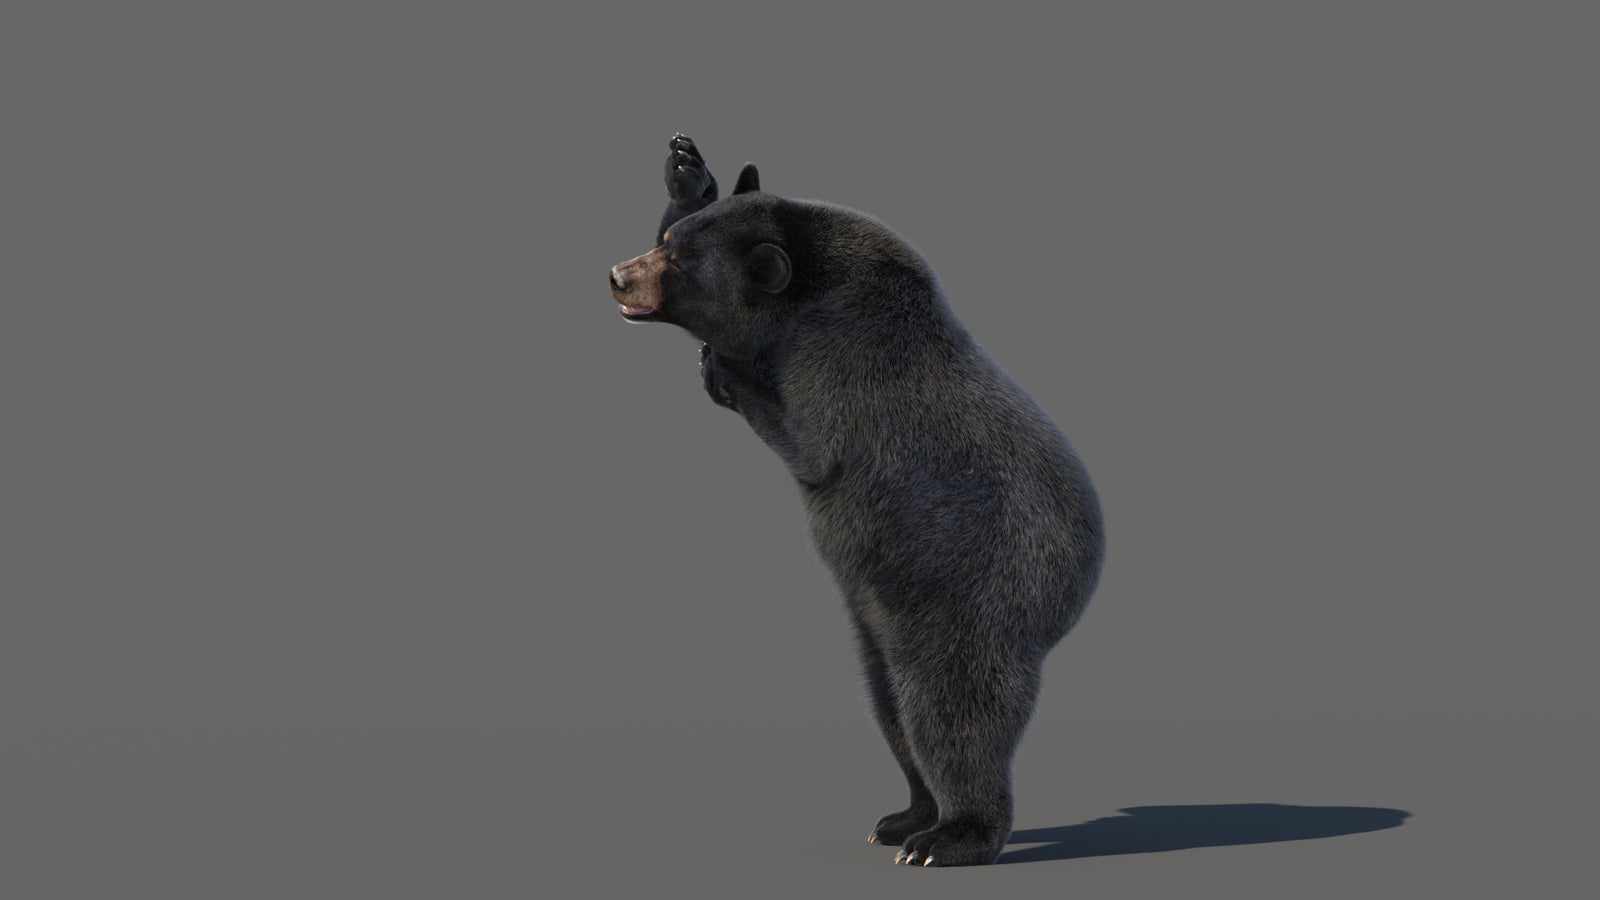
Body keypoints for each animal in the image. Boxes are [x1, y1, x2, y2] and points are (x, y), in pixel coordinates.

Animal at [608, 134, 1105, 867]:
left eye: (679, 265)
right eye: (668, 241)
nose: (618, 275)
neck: (810, 292)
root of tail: (1078, 591)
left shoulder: (847, 358)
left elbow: (812, 444)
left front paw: (722, 369)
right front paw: (687, 168)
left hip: (976, 598)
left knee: (950, 715)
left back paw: (951, 836)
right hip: (880, 620)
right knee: (889, 705)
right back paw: (904, 816)